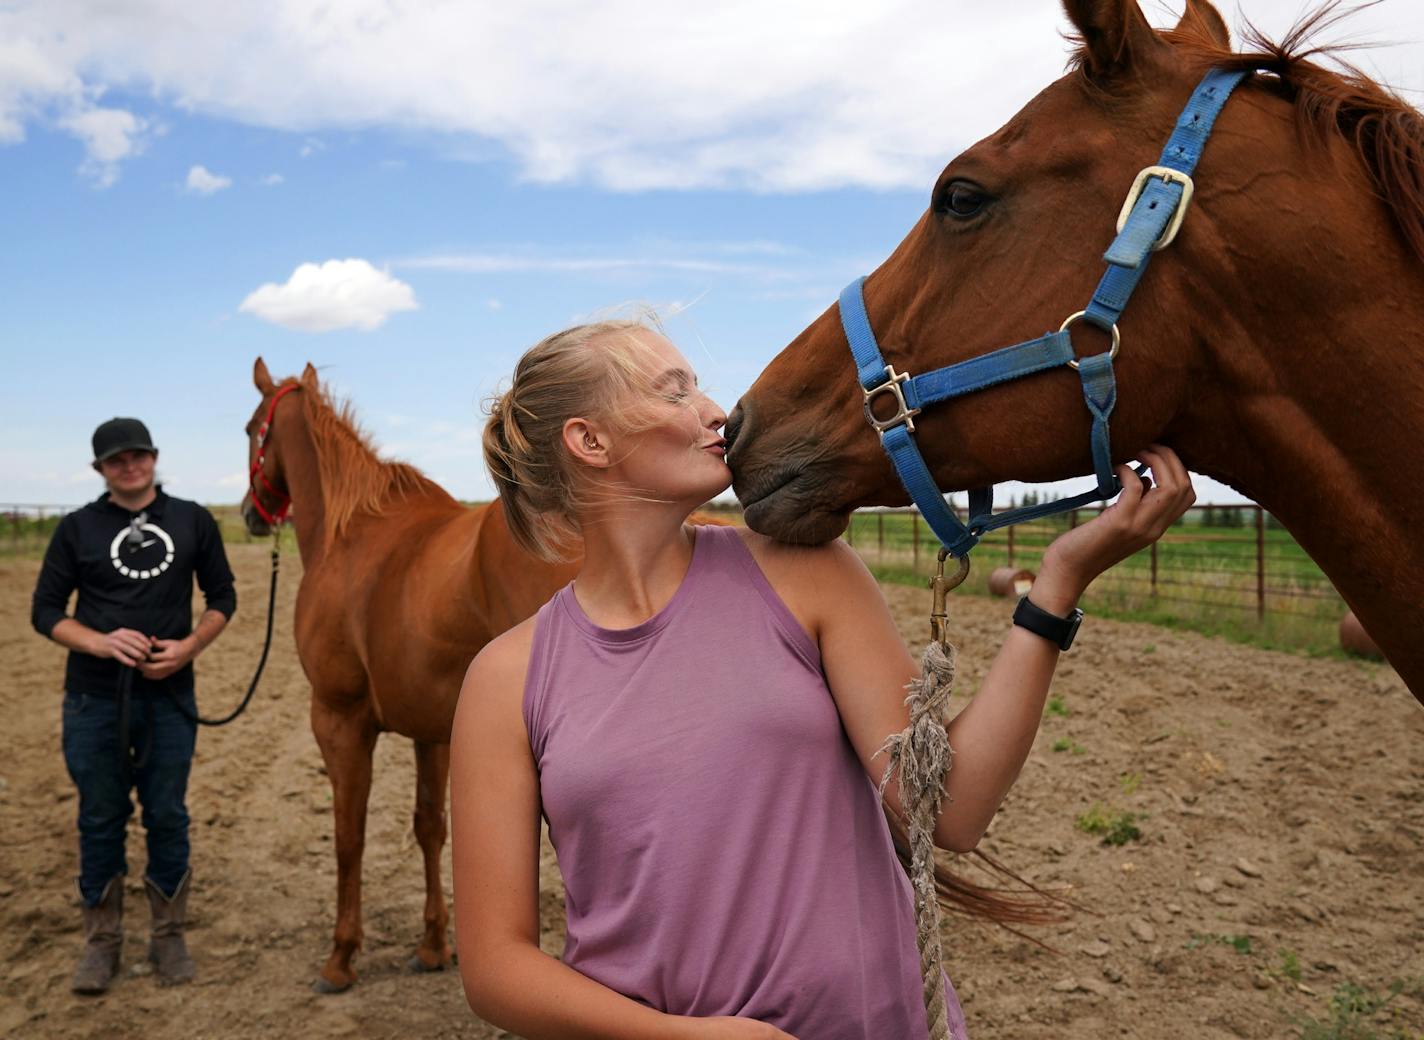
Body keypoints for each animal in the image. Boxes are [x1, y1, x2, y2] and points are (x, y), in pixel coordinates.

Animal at [242, 359, 575, 985]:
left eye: (253, 429)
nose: (250, 515)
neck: (347, 533)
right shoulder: (434, 730)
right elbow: (430, 828)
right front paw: (434, 944)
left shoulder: (339, 720)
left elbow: (349, 835)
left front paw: (341, 955)